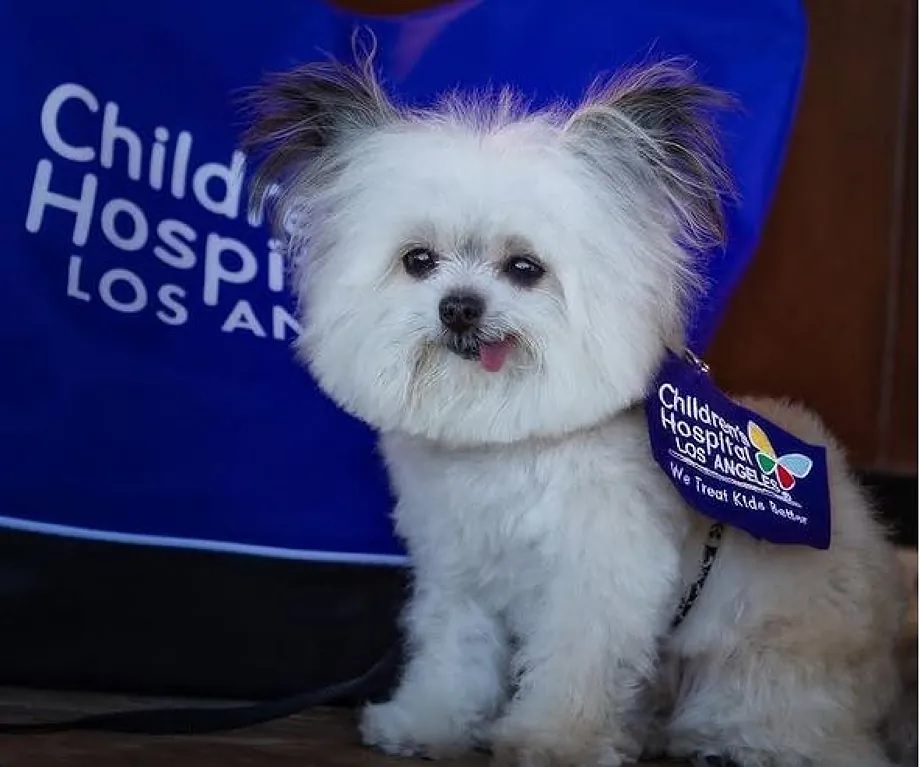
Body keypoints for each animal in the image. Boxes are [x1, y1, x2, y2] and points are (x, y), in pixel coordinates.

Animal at [243, 55, 912, 767]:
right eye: (418, 261)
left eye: (524, 268)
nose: (459, 306)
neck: (508, 443)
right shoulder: (459, 575)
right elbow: (452, 656)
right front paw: (427, 723)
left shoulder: (598, 585)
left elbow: (574, 673)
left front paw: (552, 741)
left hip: (764, 658)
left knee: (799, 726)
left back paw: (729, 741)